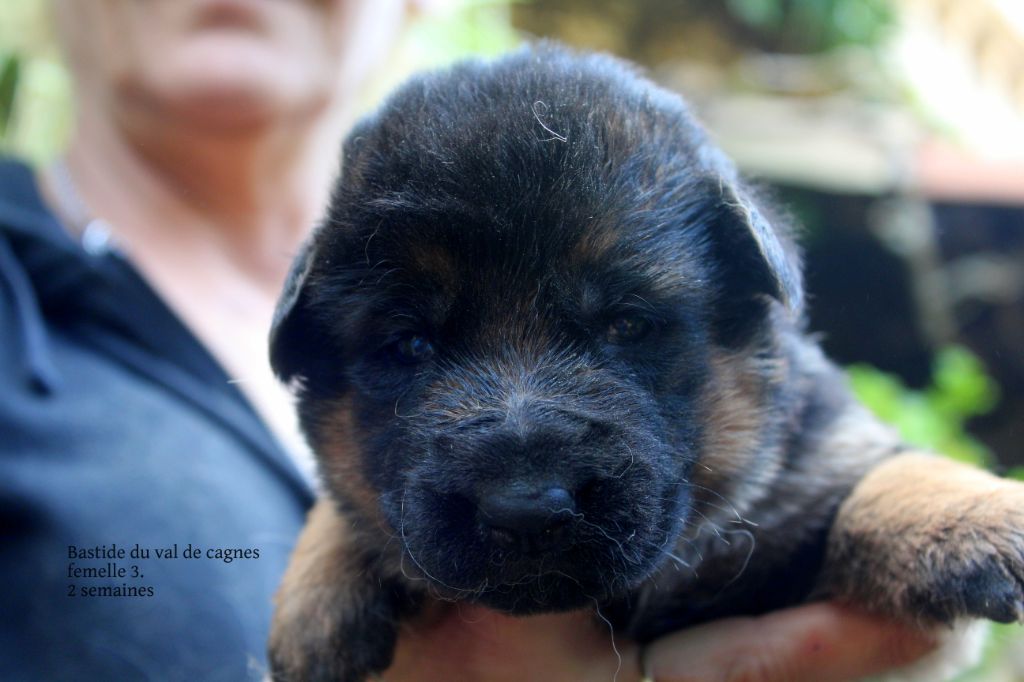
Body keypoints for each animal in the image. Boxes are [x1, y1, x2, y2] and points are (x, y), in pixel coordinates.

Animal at [266, 45, 1024, 675]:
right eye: (410, 346)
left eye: (627, 325)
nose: (526, 508)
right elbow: (342, 506)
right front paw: (314, 594)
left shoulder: (817, 462)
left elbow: (883, 474)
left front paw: (977, 515)